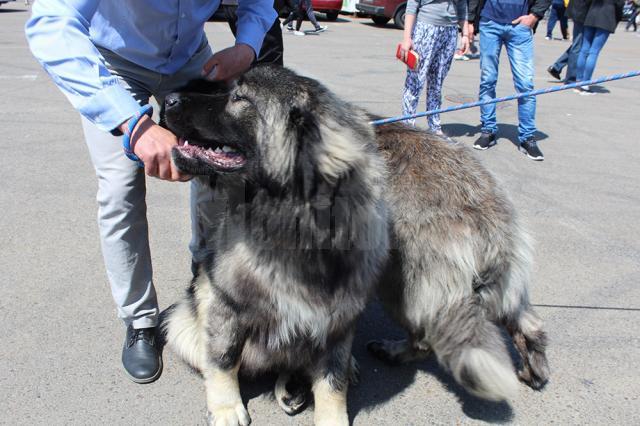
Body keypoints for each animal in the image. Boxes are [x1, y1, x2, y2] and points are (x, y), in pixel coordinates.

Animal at [161, 66, 552, 426]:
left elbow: (324, 376)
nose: (167, 99)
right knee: (528, 323)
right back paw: (533, 370)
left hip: (405, 290)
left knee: (423, 339)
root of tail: (486, 215)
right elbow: (227, 357)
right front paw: (228, 407)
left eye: (238, 98)